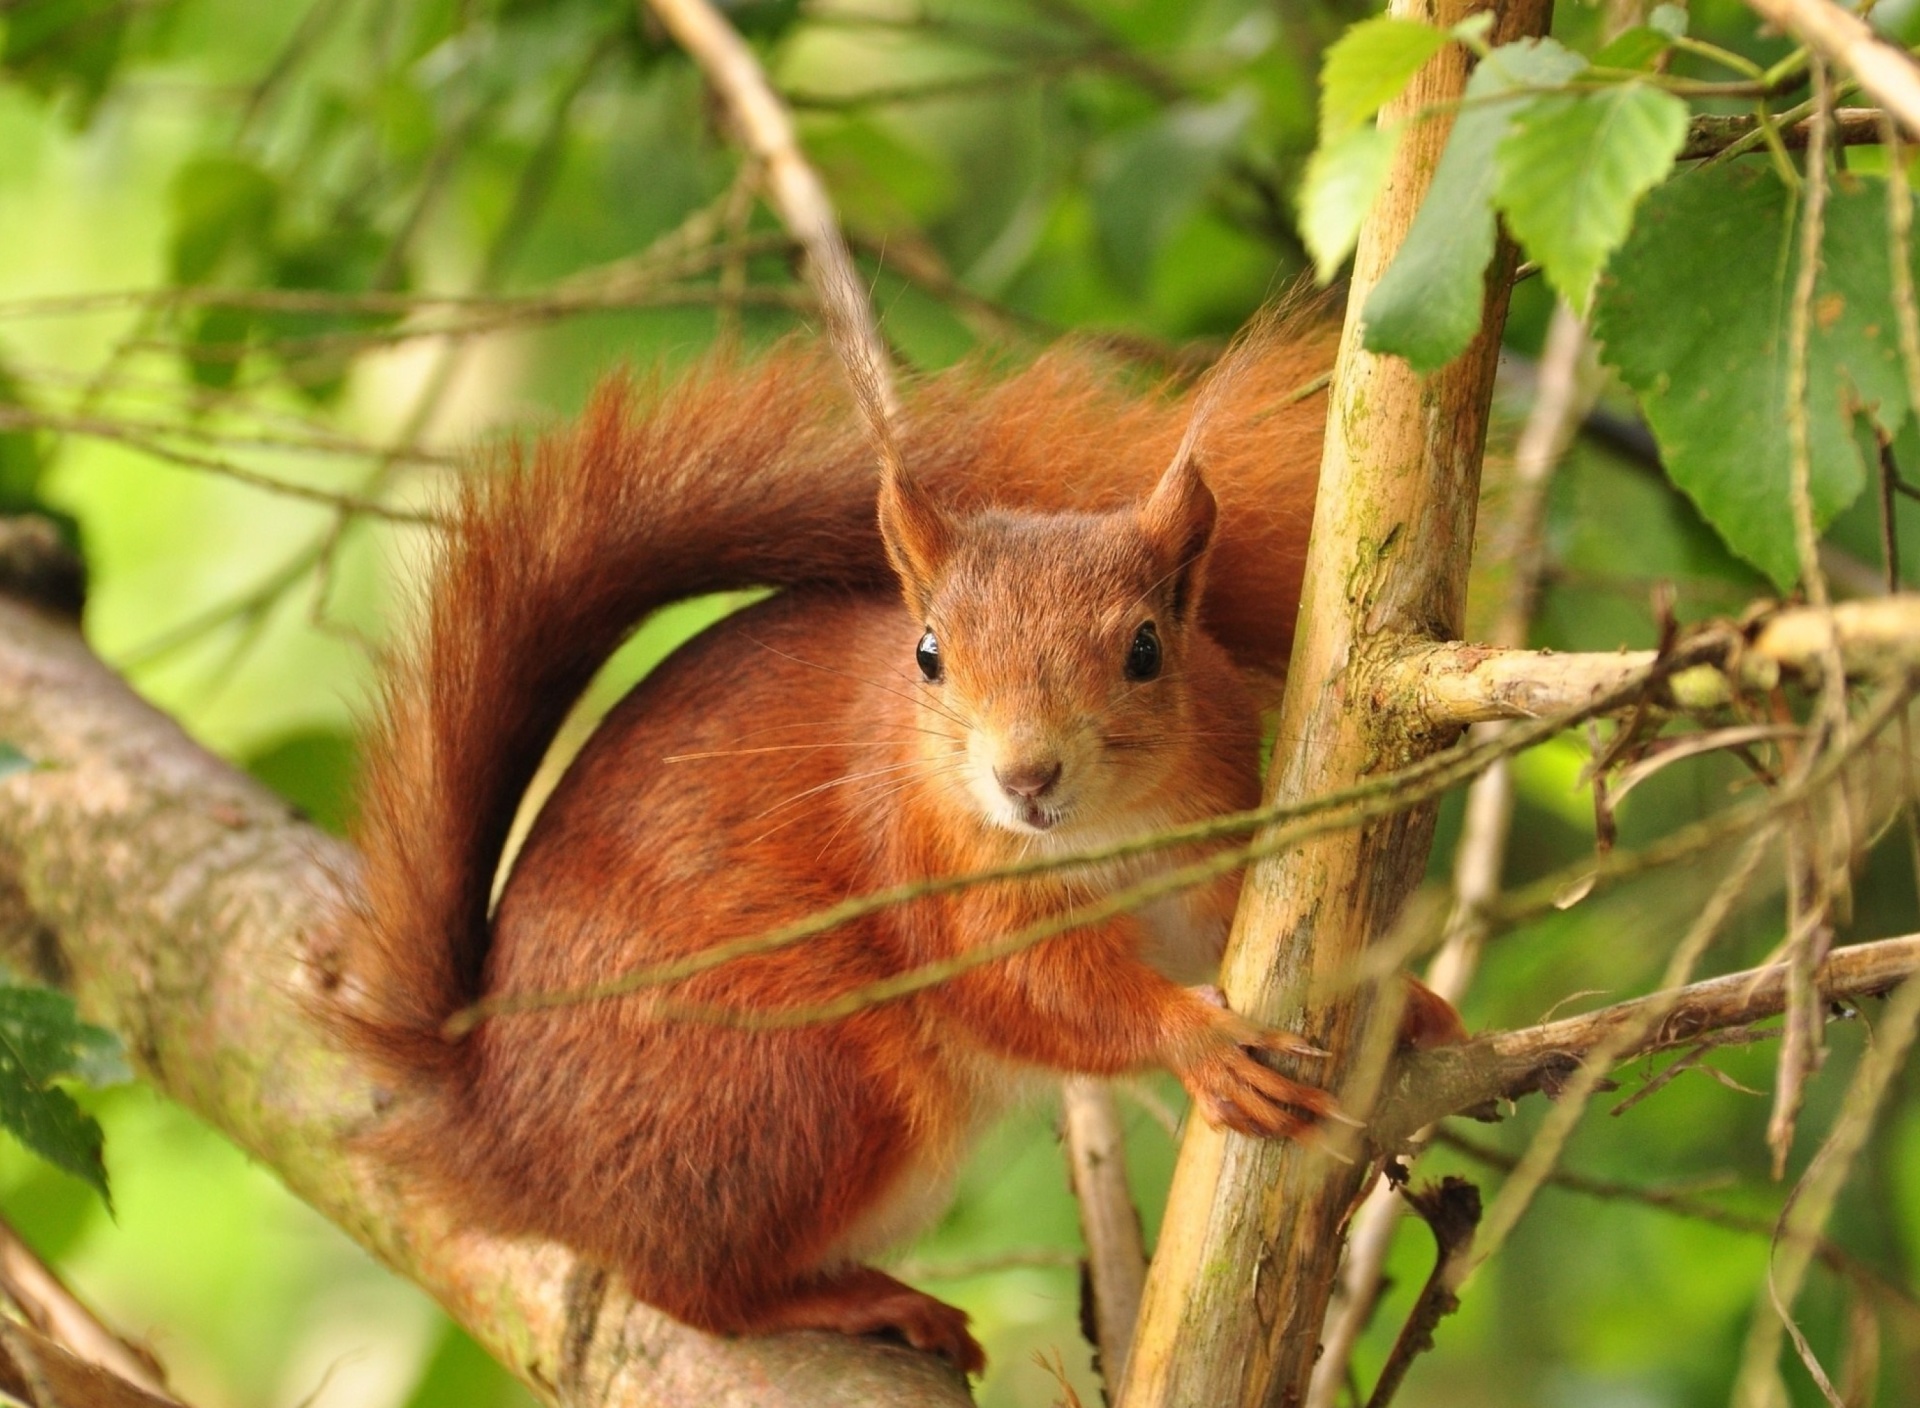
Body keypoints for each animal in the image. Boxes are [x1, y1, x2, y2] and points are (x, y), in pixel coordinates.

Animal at [341, 324, 1451, 1367]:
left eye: (1146, 650)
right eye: (928, 655)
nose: (1026, 777)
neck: (1102, 834)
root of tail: (500, 1137)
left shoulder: (1209, 833)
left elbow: (1234, 927)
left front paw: (1405, 1000)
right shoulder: (929, 869)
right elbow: (1028, 988)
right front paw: (1201, 1043)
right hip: (803, 1086)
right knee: (687, 1288)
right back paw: (854, 1300)